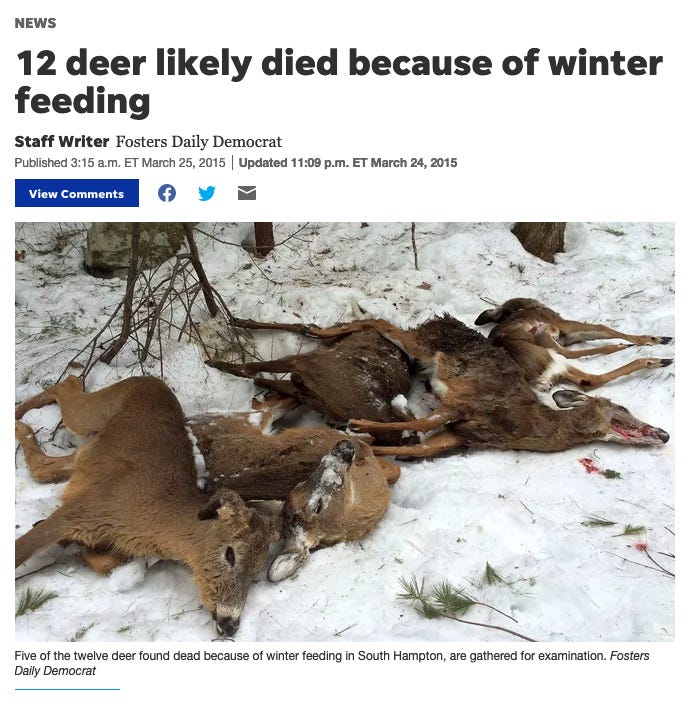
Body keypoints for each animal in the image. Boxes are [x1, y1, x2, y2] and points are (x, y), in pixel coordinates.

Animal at [14, 375, 279, 638]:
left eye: (256, 570)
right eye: (230, 554)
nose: (230, 624)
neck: (148, 522)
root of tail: (150, 379)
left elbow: (107, 562)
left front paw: (74, 546)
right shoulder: (82, 509)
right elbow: (20, 550)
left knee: (47, 465)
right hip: (89, 412)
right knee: (67, 384)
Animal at [474, 298, 673, 391]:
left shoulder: (565, 336)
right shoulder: (560, 326)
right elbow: (603, 328)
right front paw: (653, 339)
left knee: (587, 381)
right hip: (552, 354)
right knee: (591, 376)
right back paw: (655, 360)